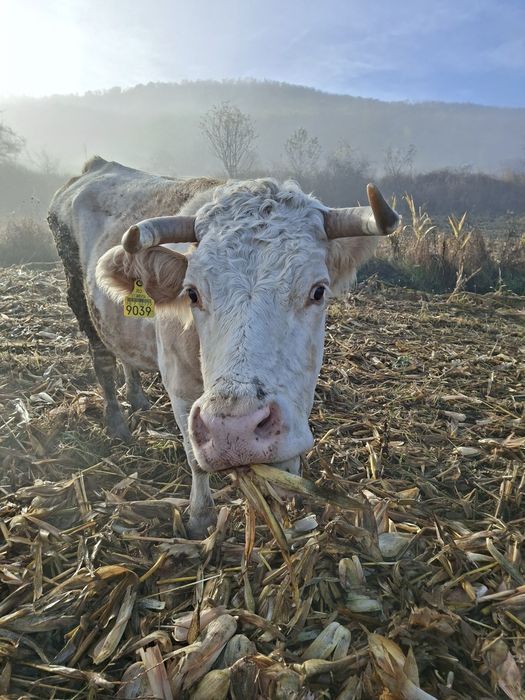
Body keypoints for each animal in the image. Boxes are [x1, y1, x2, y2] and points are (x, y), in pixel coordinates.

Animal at [48, 156, 399, 537]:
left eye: (318, 291)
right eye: (192, 293)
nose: (235, 430)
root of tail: (94, 166)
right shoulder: (180, 389)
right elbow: (194, 458)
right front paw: (200, 518)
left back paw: (137, 398)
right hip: (80, 301)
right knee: (103, 361)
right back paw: (116, 423)